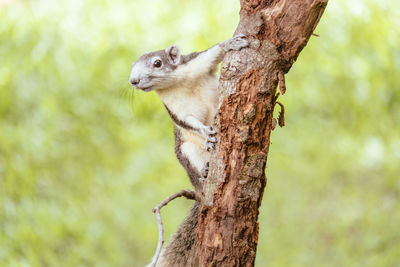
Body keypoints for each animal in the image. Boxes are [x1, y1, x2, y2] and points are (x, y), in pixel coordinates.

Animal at [130, 35, 248, 194]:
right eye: (133, 65)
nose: (133, 81)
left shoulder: (195, 64)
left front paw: (230, 43)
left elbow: (213, 54)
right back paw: (204, 172)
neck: (177, 84)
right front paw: (205, 132)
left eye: (157, 63)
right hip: (187, 150)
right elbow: (187, 121)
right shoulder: (175, 109)